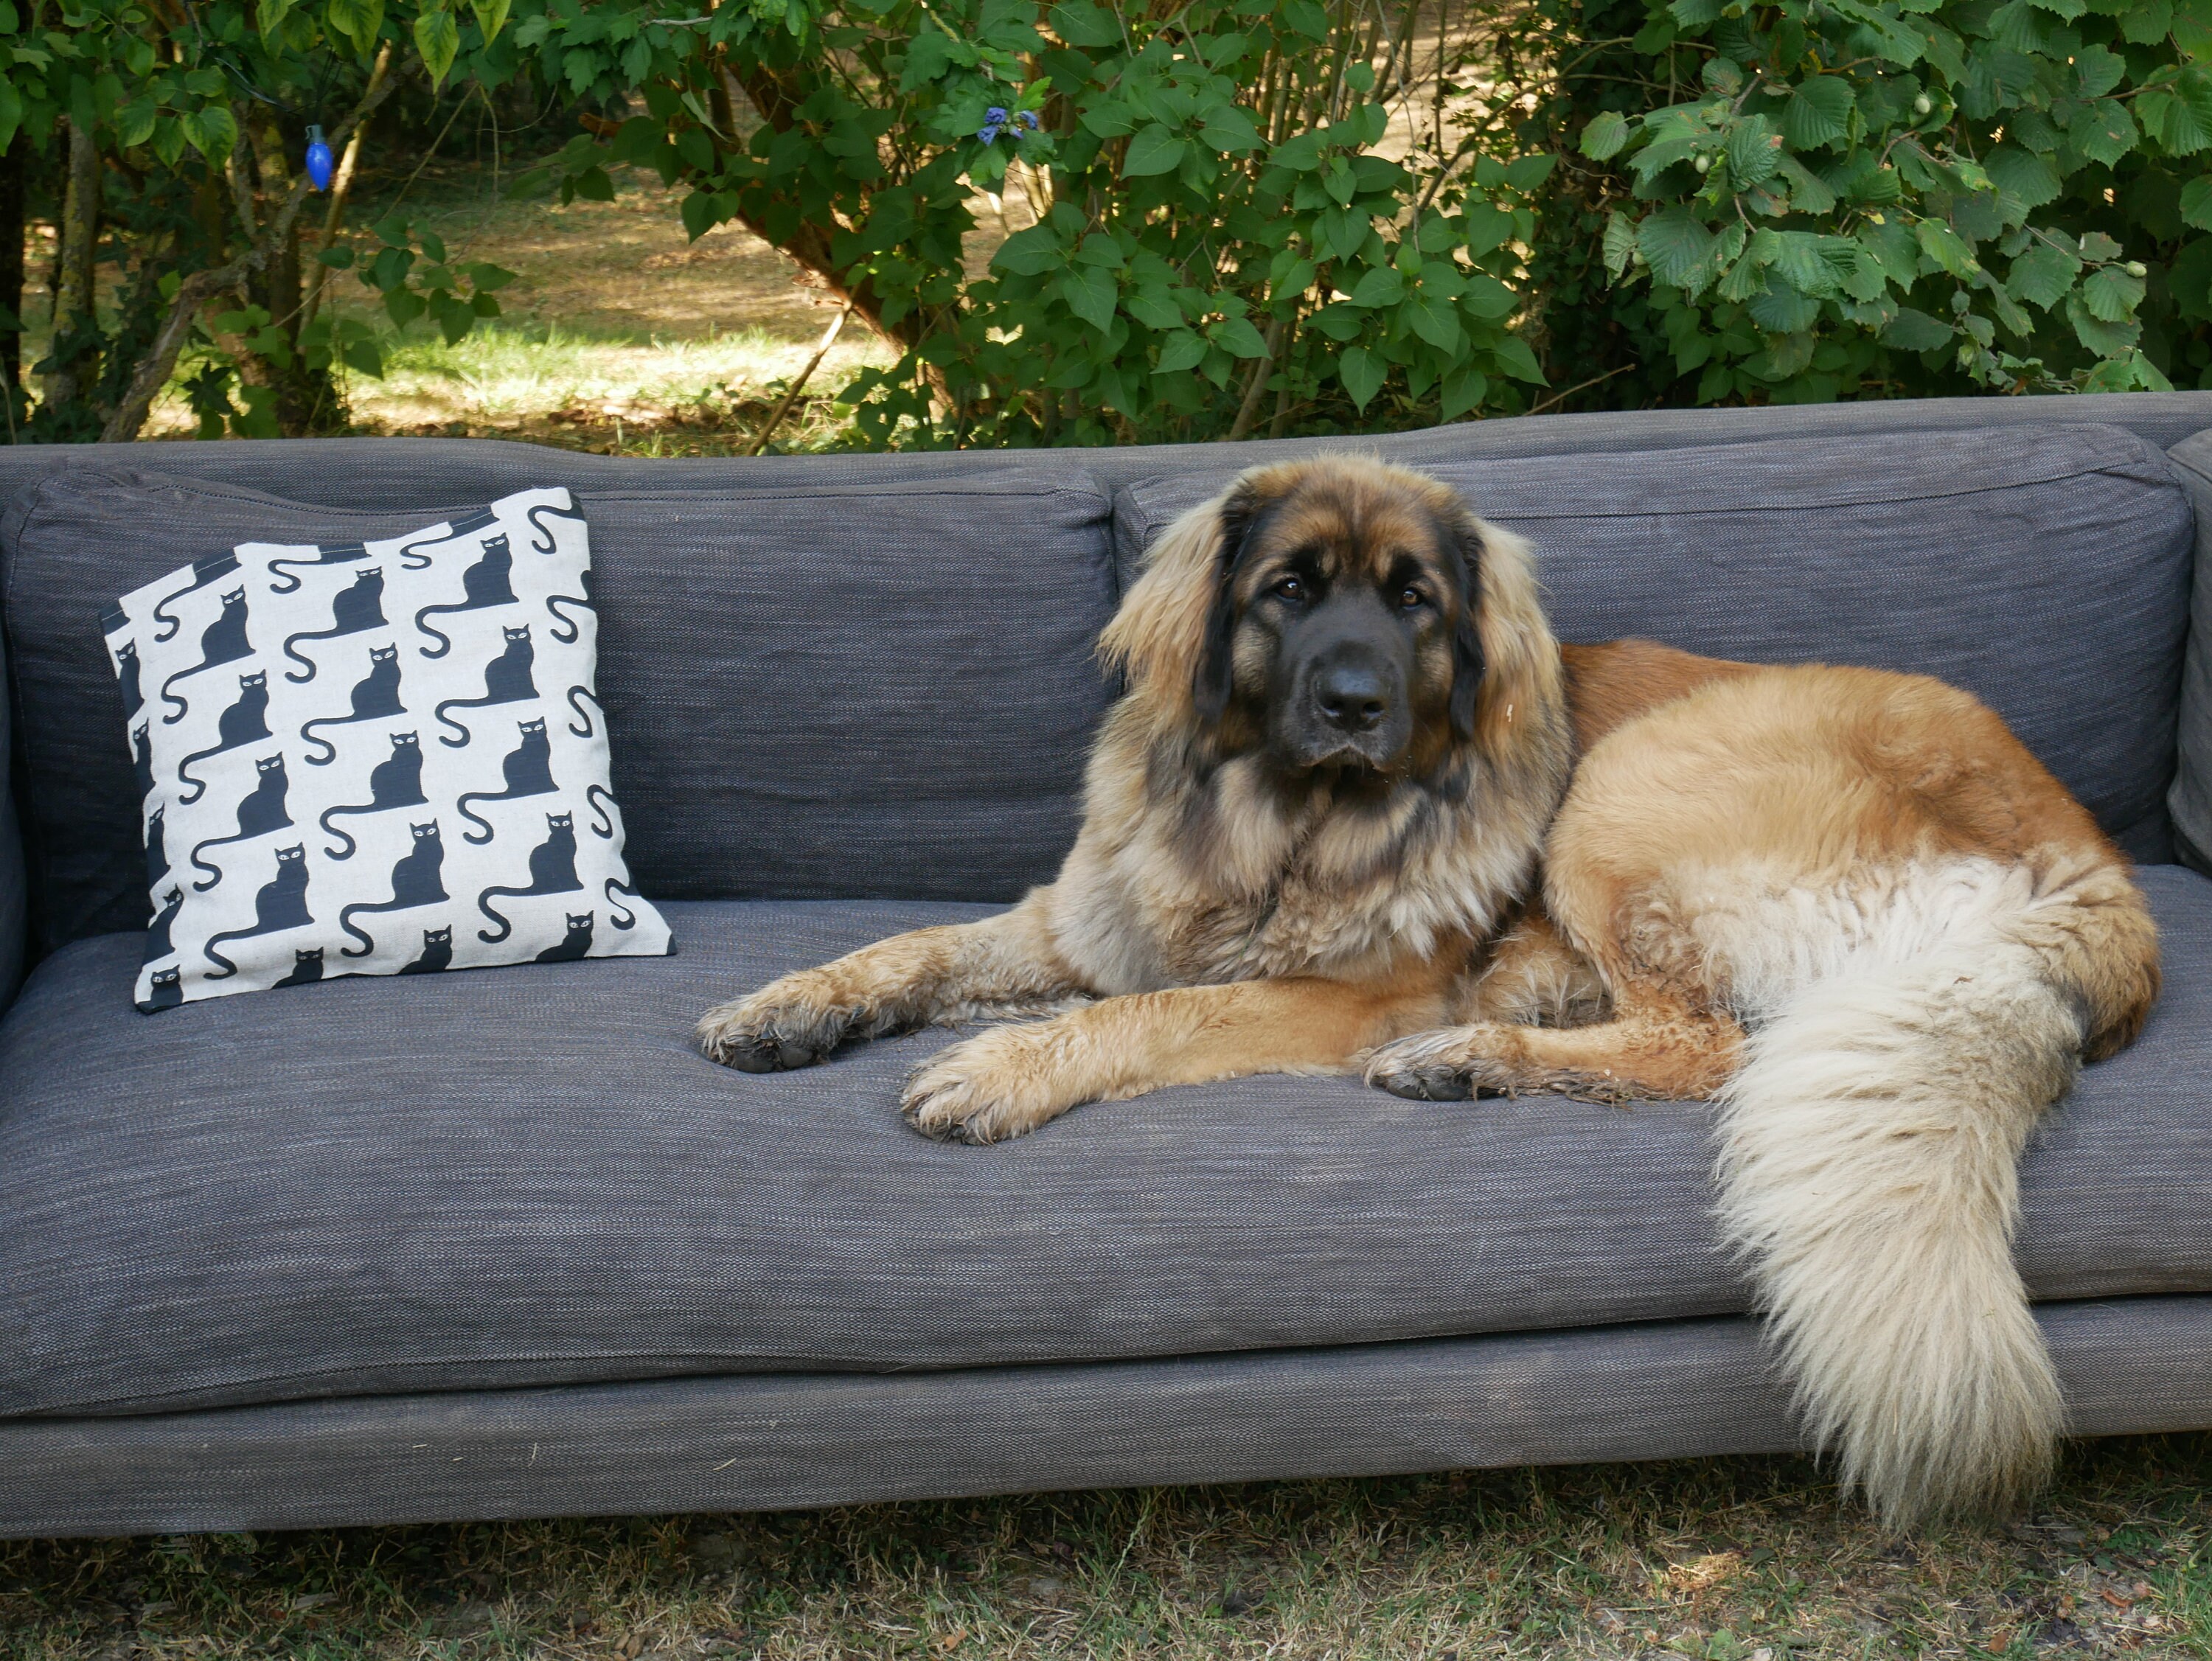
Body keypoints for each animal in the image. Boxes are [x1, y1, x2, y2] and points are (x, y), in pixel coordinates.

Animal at [703, 458, 2159, 1531]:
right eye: (1289, 591)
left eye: (1414, 604)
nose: (1355, 702)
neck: (1282, 829)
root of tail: (2081, 848)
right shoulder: (1080, 924)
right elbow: (920, 948)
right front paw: (793, 1004)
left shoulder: (1329, 1000)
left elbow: (1137, 1015)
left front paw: (1001, 1067)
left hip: (1628, 783)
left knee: (1704, 1044)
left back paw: (1474, 1053)